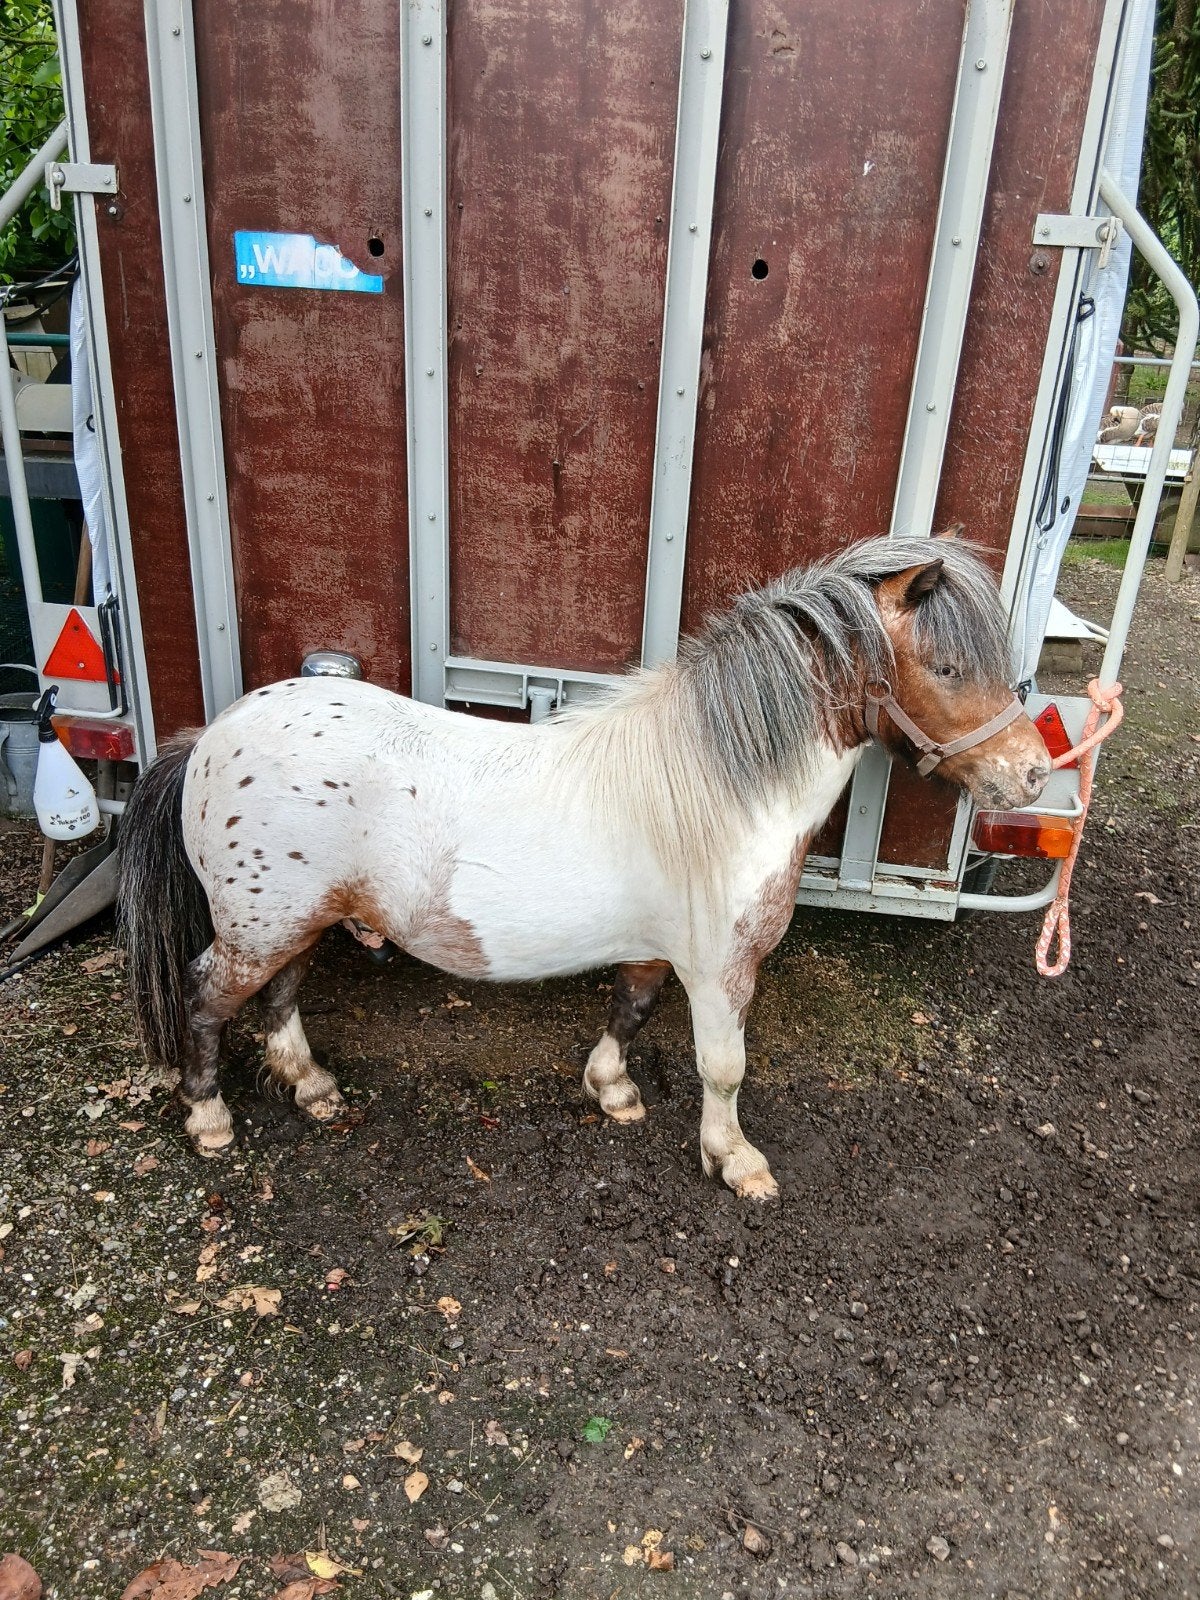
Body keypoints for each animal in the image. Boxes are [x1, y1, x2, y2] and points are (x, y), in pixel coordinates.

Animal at [117, 530, 1050, 1200]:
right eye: (947, 666)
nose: (1033, 775)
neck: (717, 787)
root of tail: (208, 741)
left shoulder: (656, 951)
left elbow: (629, 1012)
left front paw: (612, 1091)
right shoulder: (721, 970)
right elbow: (724, 1067)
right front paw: (736, 1161)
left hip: (292, 923)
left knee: (279, 994)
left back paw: (311, 1086)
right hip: (258, 927)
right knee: (205, 998)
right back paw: (209, 1118)